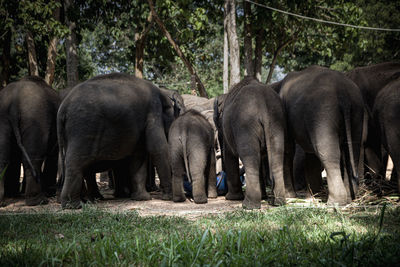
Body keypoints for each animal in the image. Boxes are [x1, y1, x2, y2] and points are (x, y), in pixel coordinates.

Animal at [57, 73, 173, 209]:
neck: (161, 93)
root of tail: (62, 108)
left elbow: (139, 155)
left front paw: (141, 198)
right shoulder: (153, 111)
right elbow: (157, 148)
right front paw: (168, 197)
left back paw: (85, 201)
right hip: (82, 125)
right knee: (77, 162)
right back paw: (74, 205)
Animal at [212, 76, 290, 210]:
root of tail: (264, 106)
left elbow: (229, 155)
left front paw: (232, 198)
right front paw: (263, 197)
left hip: (245, 124)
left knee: (250, 158)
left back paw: (249, 205)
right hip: (277, 122)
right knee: (277, 156)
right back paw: (278, 202)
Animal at [276, 65, 368, 205]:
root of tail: (343, 93)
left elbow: (288, 147)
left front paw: (290, 196)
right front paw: (313, 195)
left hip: (323, 112)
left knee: (329, 153)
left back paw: (335, 202)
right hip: (356, 110)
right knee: (352, 149)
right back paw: (349, 198)